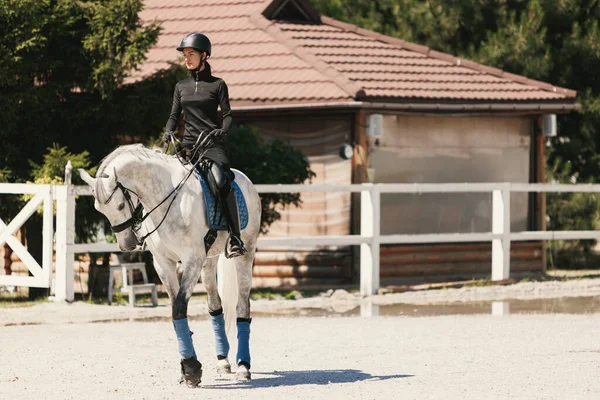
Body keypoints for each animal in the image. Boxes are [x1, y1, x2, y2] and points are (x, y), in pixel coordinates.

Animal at [78, 144, 262, 384]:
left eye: (120, 205)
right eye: (99, 209)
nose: (127, 244)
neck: (167, 198)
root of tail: (244, 178)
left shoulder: (192, 260)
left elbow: (179, 307)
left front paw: (191, 368)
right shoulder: (163, 263)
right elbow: (175, 309)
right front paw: (187, 366)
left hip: (244, 255)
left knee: (242, 305)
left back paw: (243, 366)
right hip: (209, 262)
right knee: (215, 305)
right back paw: (223, 361)